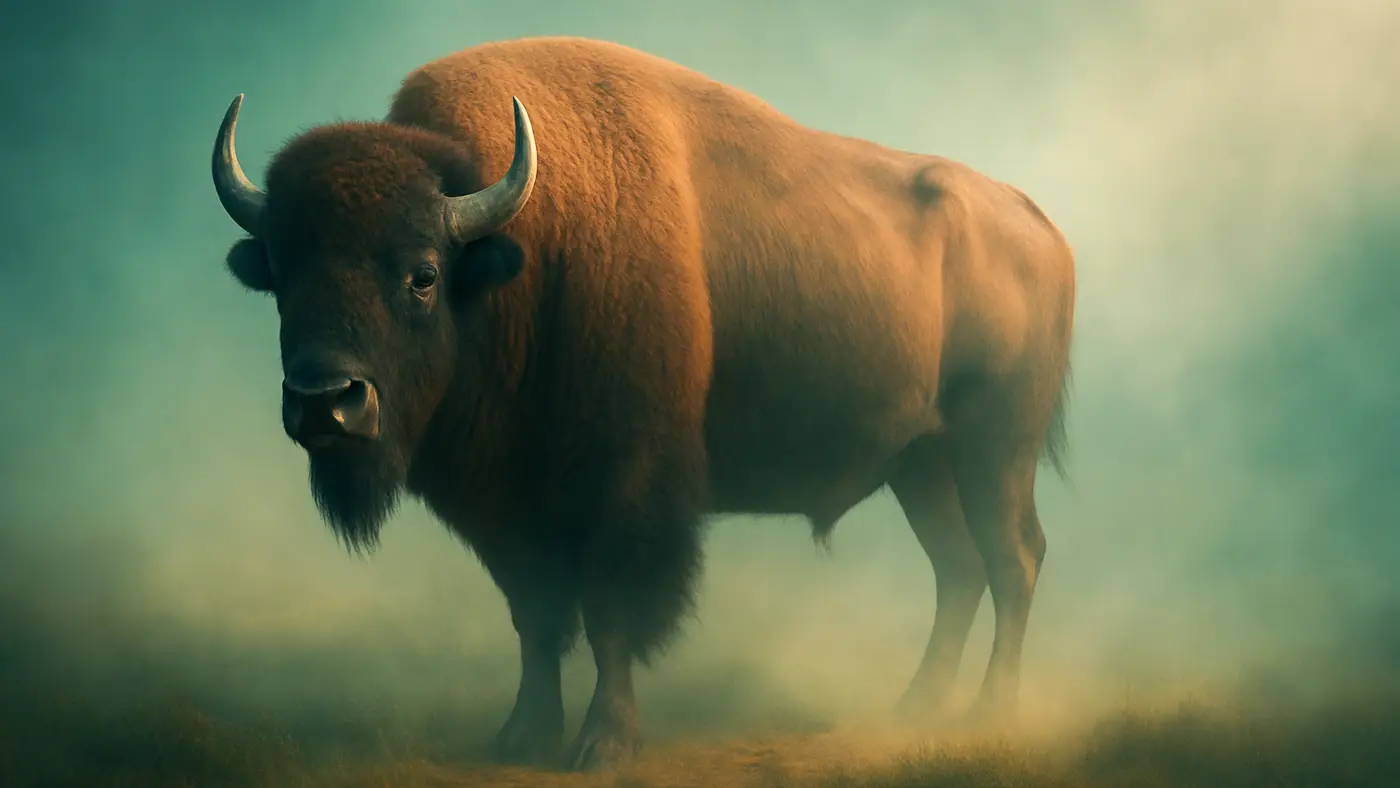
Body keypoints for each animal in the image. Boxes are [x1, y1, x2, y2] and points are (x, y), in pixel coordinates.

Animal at [211, 36, 1075, 771]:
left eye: (421, 274)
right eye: (281, 273)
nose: (326, 402)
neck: (522, 253)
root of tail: (1039, 225)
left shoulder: (625, 484)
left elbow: (609, 612)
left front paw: (604, 745)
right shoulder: (506, 509)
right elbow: (536, 616)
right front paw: (521, 736)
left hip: (995, 449)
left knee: (1014, 558)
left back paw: (989, 714)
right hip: (921, 464)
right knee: (959, 567)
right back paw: (914, 708)